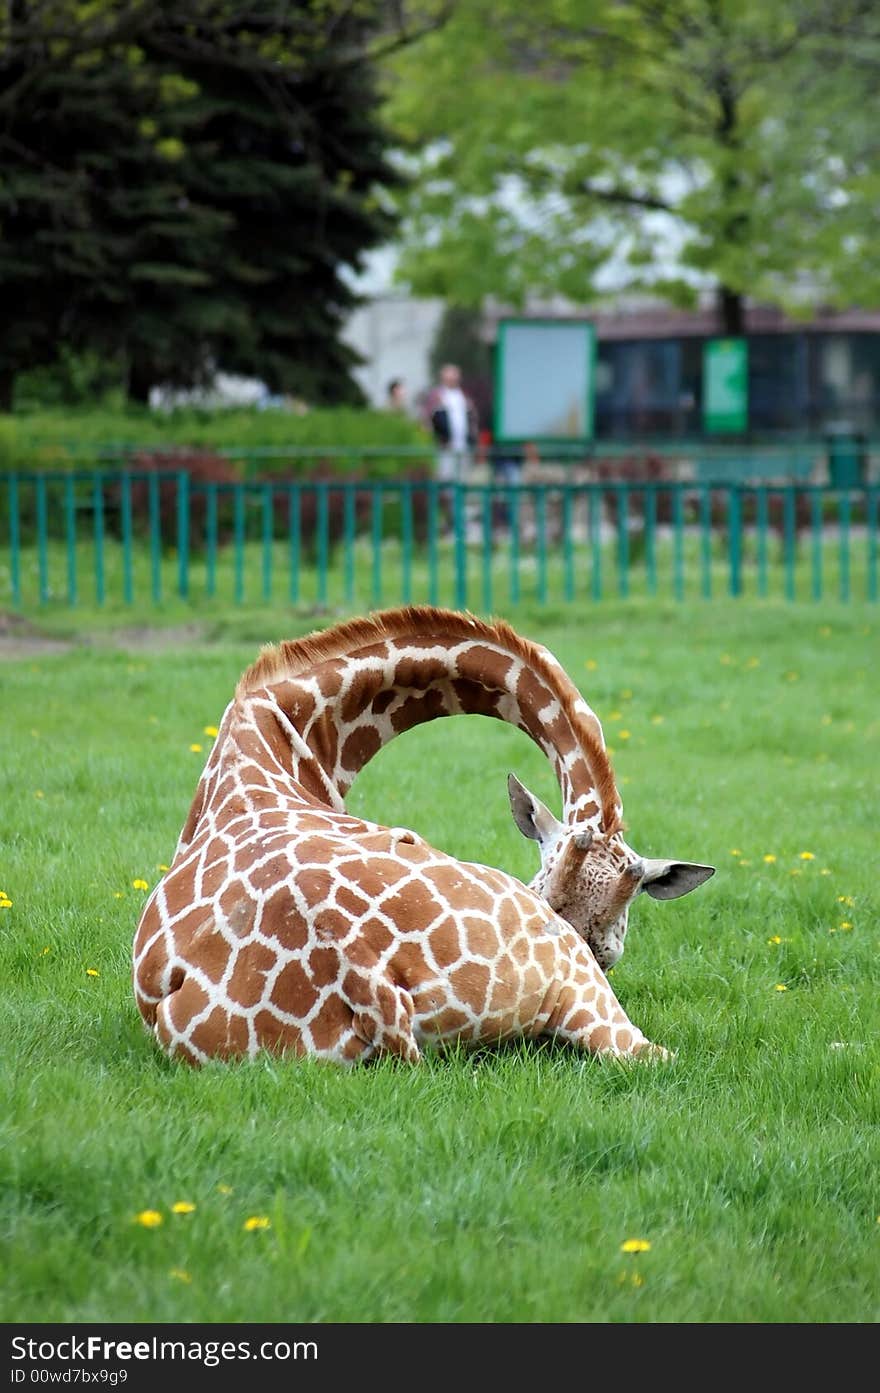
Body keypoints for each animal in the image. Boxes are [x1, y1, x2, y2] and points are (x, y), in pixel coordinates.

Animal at [132, 607, 712, 1064]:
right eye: (546, 891)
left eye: (611, 943)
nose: (599, 958)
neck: (280, 729)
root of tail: (363, 977)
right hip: (578, 991)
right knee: (654, 1055)